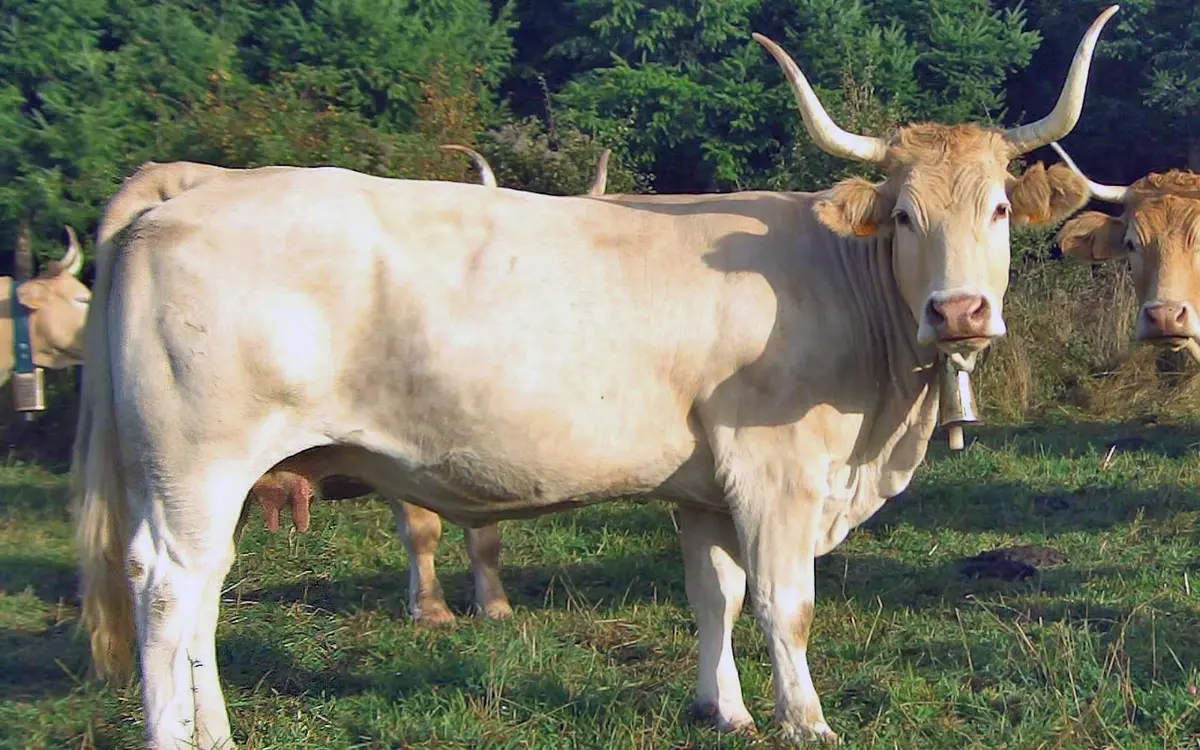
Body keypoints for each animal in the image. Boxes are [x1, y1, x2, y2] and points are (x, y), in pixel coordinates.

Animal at [71, 8, 1114, 748]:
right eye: (902, 215)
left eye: (997, 208)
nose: (959, 312)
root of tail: (199, 183)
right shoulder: (778, 471)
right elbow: (786, 604)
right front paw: (807, 722)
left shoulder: (705, 487)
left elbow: (714, 595)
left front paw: (726, 712)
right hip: (197, 463)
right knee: (169, 591)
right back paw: (181, 737)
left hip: (210, 476)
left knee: (203, 594)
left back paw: (216, 733)